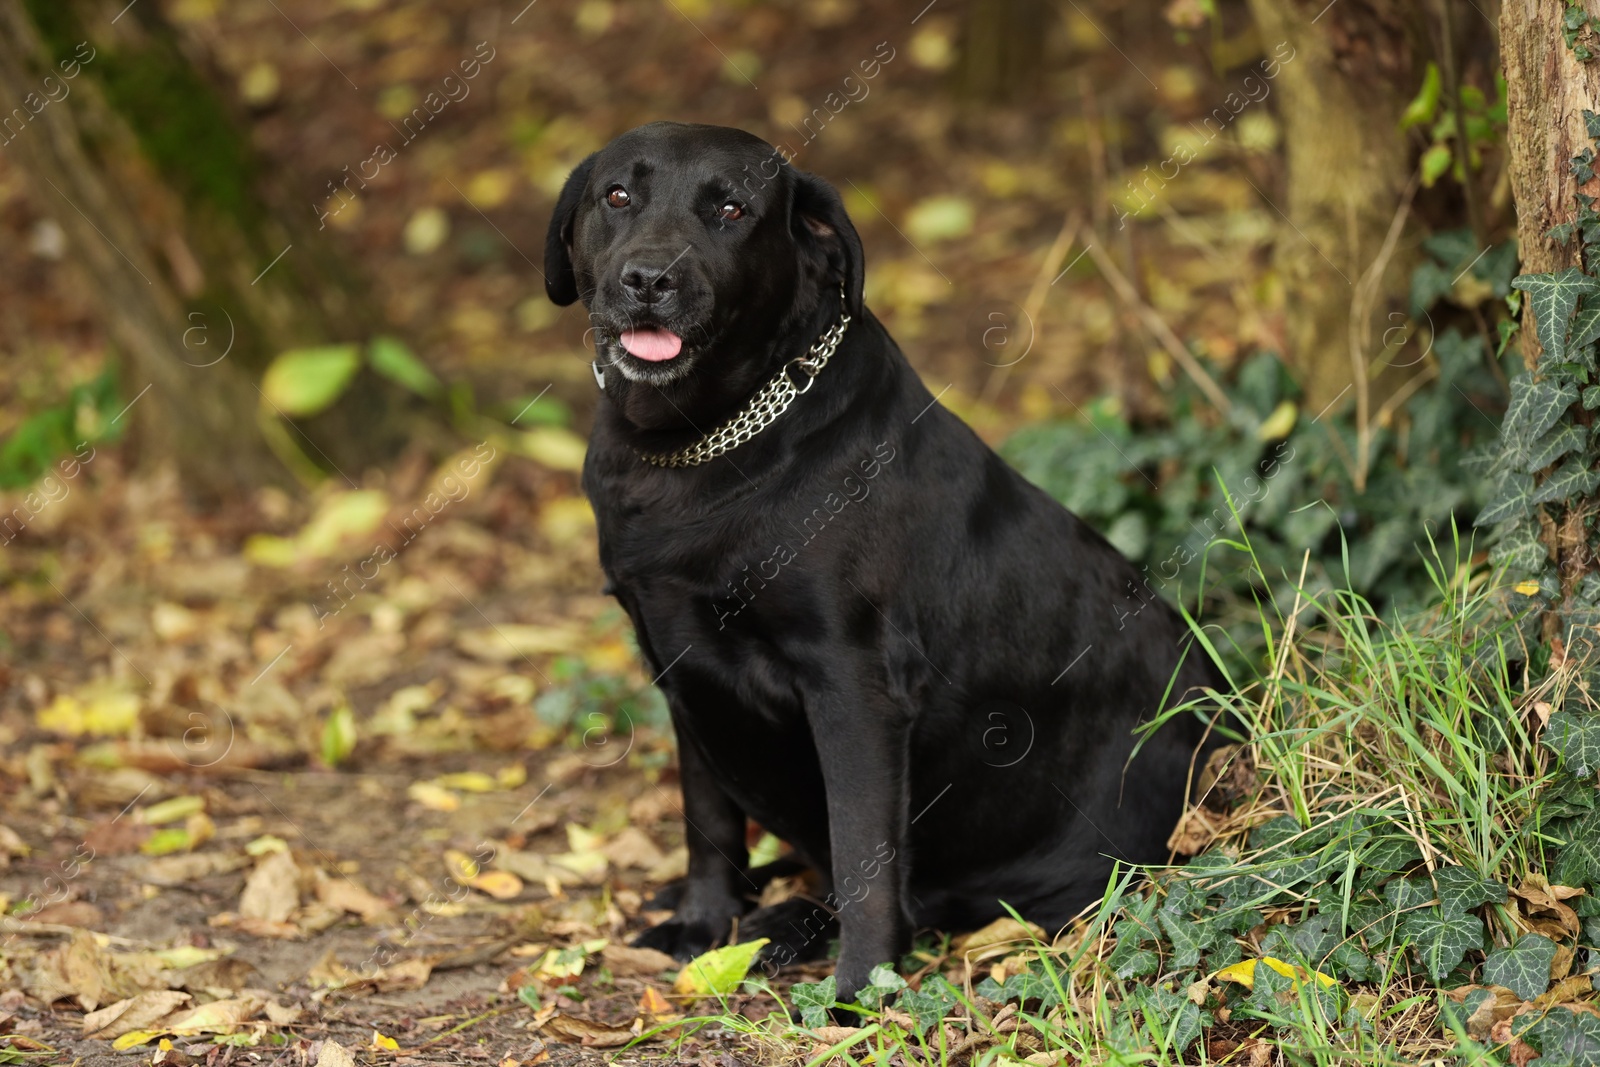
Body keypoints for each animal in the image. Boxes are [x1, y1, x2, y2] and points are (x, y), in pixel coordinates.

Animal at [544, 123, 1216, 1004]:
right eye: (617, 195)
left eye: (731, 209)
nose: (650, 279)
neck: (695, 448)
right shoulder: (678, 665)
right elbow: (708, 818)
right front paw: (704, 922)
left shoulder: (853, 684)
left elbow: (863, 849)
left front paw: (861, 989)